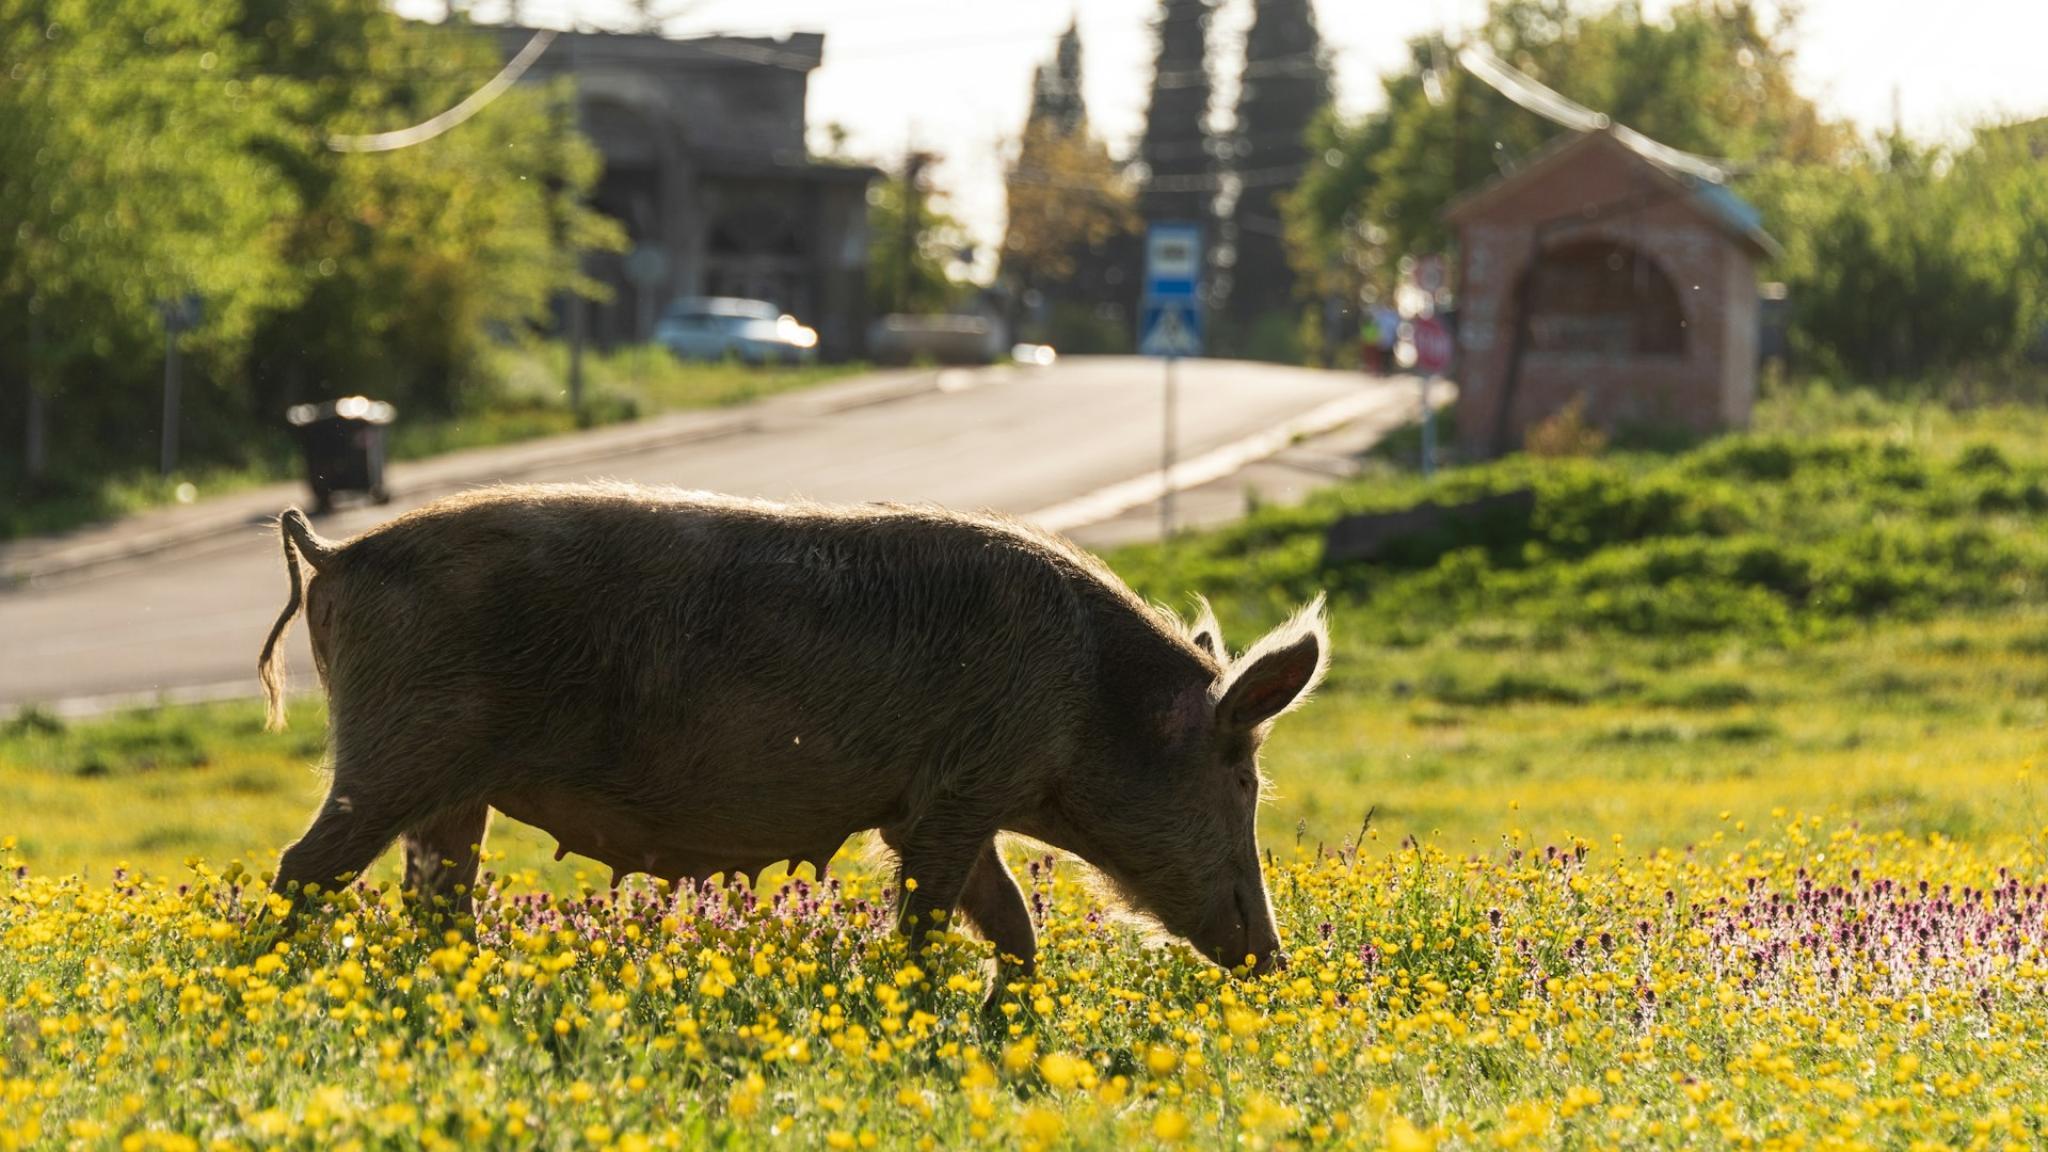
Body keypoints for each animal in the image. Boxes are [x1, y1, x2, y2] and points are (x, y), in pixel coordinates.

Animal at [260, 479, 1327, 971]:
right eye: (1244, 780)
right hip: (395, 752)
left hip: (453, 786)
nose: (1273, 958)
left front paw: (1008, 1025)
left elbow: (1013, 923)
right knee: (302, 870)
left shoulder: (939, 801)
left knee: (436, 895)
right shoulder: (962, 789)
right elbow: (932, 918)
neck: (1088, 696)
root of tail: (339, 556)